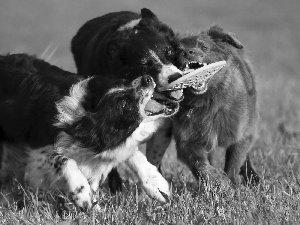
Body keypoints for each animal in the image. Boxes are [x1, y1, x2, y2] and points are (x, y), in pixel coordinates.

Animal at [0, 53, 180, 208]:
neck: (84, 111)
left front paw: (158, 186)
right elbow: (63, 160)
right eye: (123, 104)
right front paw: (82, 195)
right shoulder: (38, 151)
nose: (147, 79)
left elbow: (131, 153)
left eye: (124, 83)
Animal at [145, 24, 260, 186]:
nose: (188, 52)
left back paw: (253, 177)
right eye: (178, 50)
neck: (209, 99)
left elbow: (234, 162)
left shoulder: (240, 134)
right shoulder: (187, 140)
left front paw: (232, 184)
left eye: (204, 47)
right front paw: (216, 180)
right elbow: (200, 165)